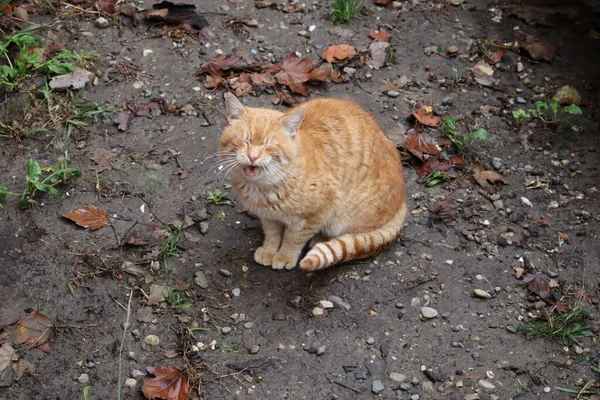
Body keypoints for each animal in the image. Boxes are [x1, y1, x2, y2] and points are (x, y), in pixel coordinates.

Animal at [220, 92, 408, 270]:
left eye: (268, 145)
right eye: (244, 141)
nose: (252, 157)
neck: (261, 189)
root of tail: (403, 202)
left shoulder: (314, 217)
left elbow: (292, 239)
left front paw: (284, 256)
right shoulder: (268, 217)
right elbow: (272, 235)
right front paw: (268, 251)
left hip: (342, 218)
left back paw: (319, 239)